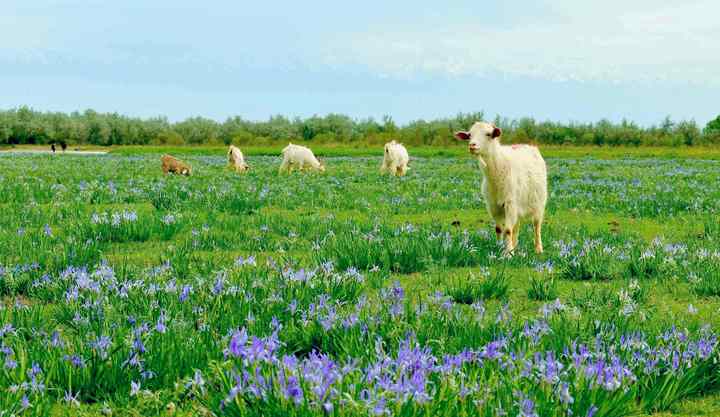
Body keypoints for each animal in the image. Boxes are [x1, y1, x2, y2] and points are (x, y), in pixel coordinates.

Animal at [456, 121, 544, 254]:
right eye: (470, 135)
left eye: (488, 134)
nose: (472, 145)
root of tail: (528, 146)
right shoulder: (493, 205)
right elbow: (498, 228)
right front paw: (499, 248)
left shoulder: (510, 203)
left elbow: (507, 230)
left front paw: (508, 253)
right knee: (516, 226)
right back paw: (515, 245)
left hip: (538, 202)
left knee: (536, 225)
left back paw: (538, 249)